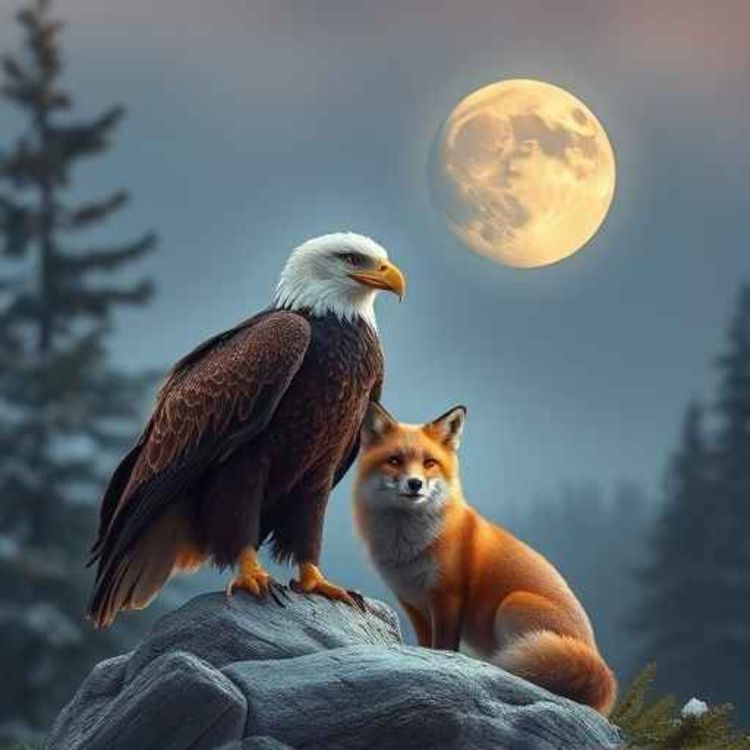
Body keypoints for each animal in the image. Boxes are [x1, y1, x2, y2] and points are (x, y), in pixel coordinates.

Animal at [353, 402, 617, 716]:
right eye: (394, 460)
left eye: (429, 463)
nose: (415, 484)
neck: (409, 547)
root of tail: (600, 663)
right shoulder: (412, 603)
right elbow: (425, 645)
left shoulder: (448, 597)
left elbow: (442, 647)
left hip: (513, 604)